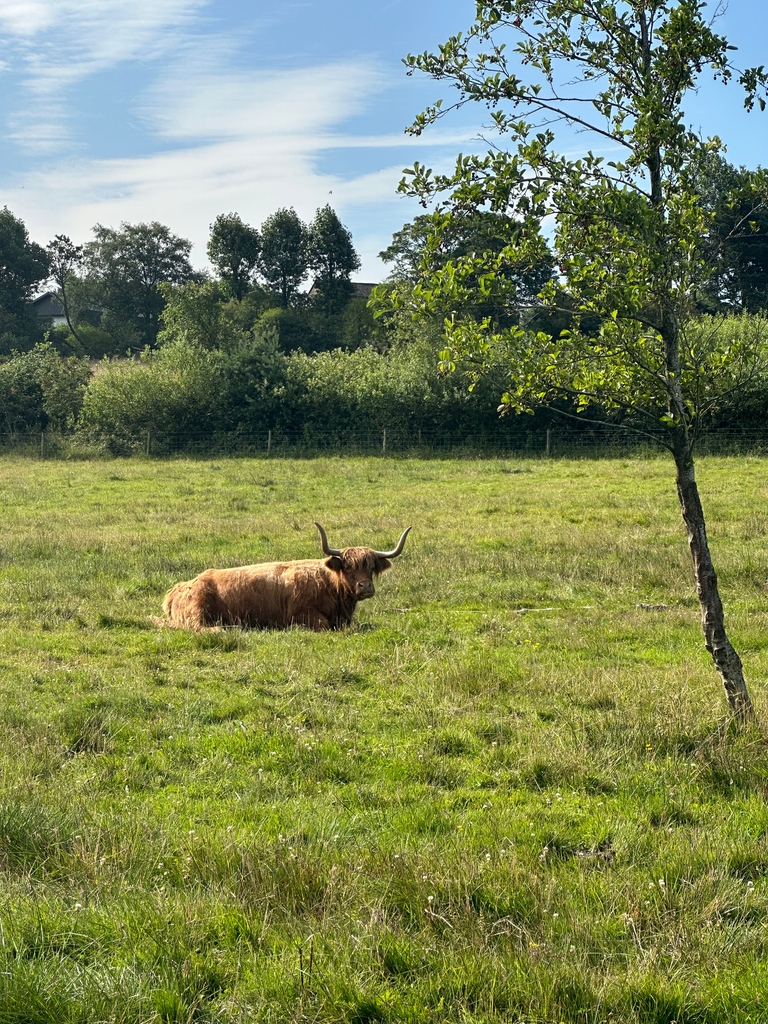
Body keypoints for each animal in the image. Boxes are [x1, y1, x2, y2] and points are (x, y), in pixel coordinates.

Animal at [162, 522, 411, 631]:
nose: (365, 586)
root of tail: (179, 587)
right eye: (348, 567)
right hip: (198, 611)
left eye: (371, 567)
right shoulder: (303, 615)